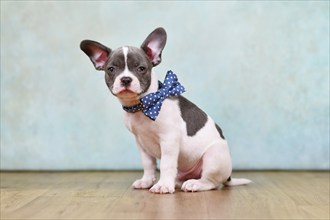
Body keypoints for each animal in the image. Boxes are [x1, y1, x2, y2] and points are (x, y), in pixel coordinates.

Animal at [80, 27, 250, 192]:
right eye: (111, 69)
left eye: (141, 68)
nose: (126, 79)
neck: (143, 105)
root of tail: (228, 176)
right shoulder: (141, 143)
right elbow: (148, 164)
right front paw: (147, 181)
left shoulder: (169, 140)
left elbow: (166, 164)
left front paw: (163, 185)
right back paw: (176, 182)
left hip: (213, 157)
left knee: (211, 182)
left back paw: (195, 184)